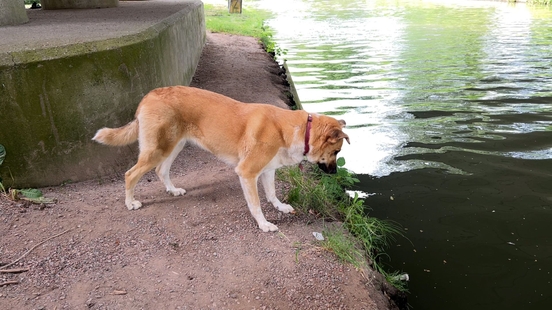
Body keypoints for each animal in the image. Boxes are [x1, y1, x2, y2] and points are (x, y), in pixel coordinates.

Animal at [92, 86, 348, 231]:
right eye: (337, 152)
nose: (336, 173)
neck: (298, 129)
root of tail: (148, 96)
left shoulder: (267, 170)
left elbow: (272, 194)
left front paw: (280, 207)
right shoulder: (247, 173)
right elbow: (256, 204)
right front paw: (264, 224)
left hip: (174, 146)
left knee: (161, 171)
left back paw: (172, 190)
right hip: (157, 150)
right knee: (130, 174)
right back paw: (130, 203)